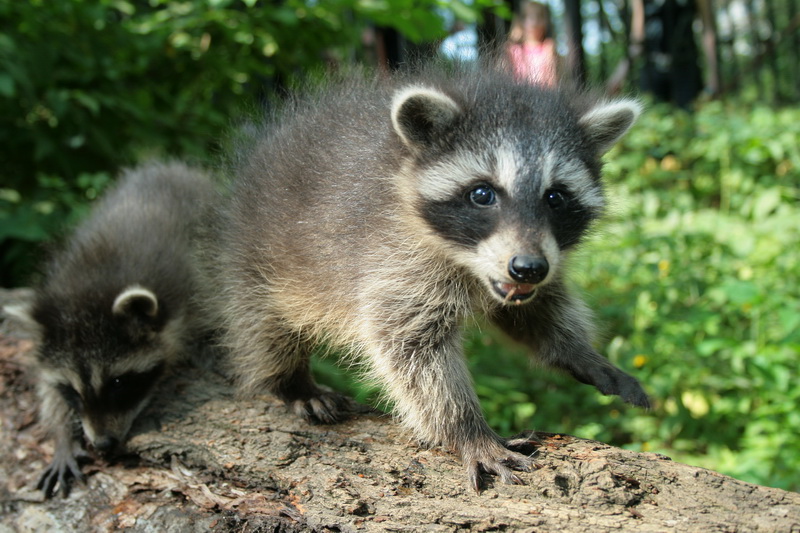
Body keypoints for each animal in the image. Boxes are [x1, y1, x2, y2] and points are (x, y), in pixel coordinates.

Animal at [10, 160, 216, 496]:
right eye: (71, 389)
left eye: (118, 382)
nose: (103, 444)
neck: (90, 284)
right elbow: (46, 387)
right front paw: (62, 435)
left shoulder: (189, 283)